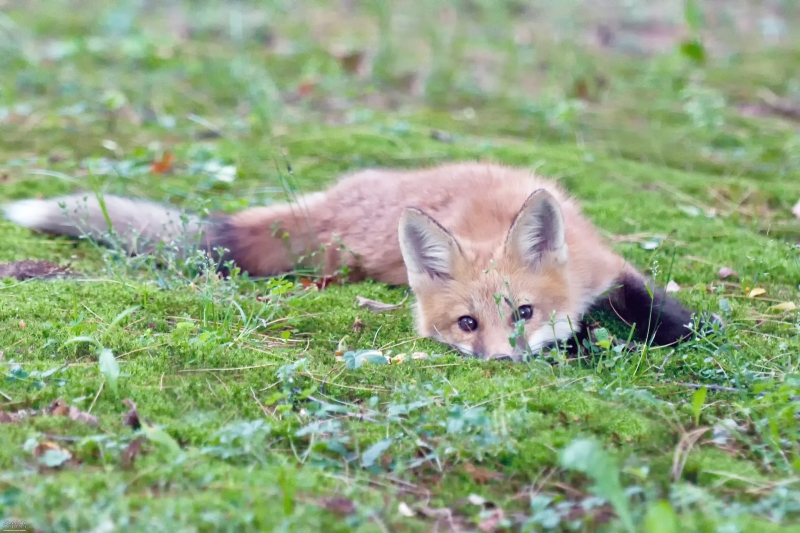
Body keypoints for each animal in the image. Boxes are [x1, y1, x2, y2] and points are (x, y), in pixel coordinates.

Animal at [3, 162, 716, 360]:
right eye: (467, 324)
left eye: (523, 311)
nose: (500, 363)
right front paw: (583, 343)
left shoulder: (605, 265)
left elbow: (644, 302)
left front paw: (680, 331)